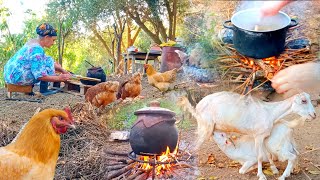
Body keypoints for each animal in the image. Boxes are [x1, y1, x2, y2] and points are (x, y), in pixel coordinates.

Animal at [179, 92, 316, 179]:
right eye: (303, 101)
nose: (314, 115)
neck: (270, 112)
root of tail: (197, 107)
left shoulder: (264, 136)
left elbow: (268, 155)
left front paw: (274, 170)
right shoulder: (258, 136)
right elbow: (260, 156)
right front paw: (261, 175)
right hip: (205, 128)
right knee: (195, 145)